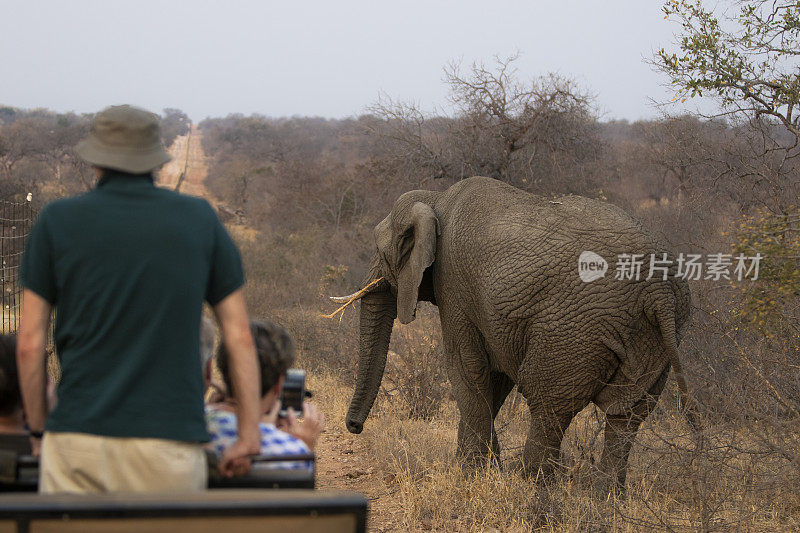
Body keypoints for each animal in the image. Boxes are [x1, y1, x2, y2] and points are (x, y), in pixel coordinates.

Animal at [334, 177, 692, 492]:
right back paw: (604, 499)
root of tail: (660, 291)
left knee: (547, 402)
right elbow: (495, 378)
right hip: (654, 336)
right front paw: (483, 469)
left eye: (381, 252)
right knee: (626, 414)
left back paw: (532, 487)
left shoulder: (454, 286)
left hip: (573, 331)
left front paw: (472, 477)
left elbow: (467, 368)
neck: (435, 199)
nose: (354, 427)